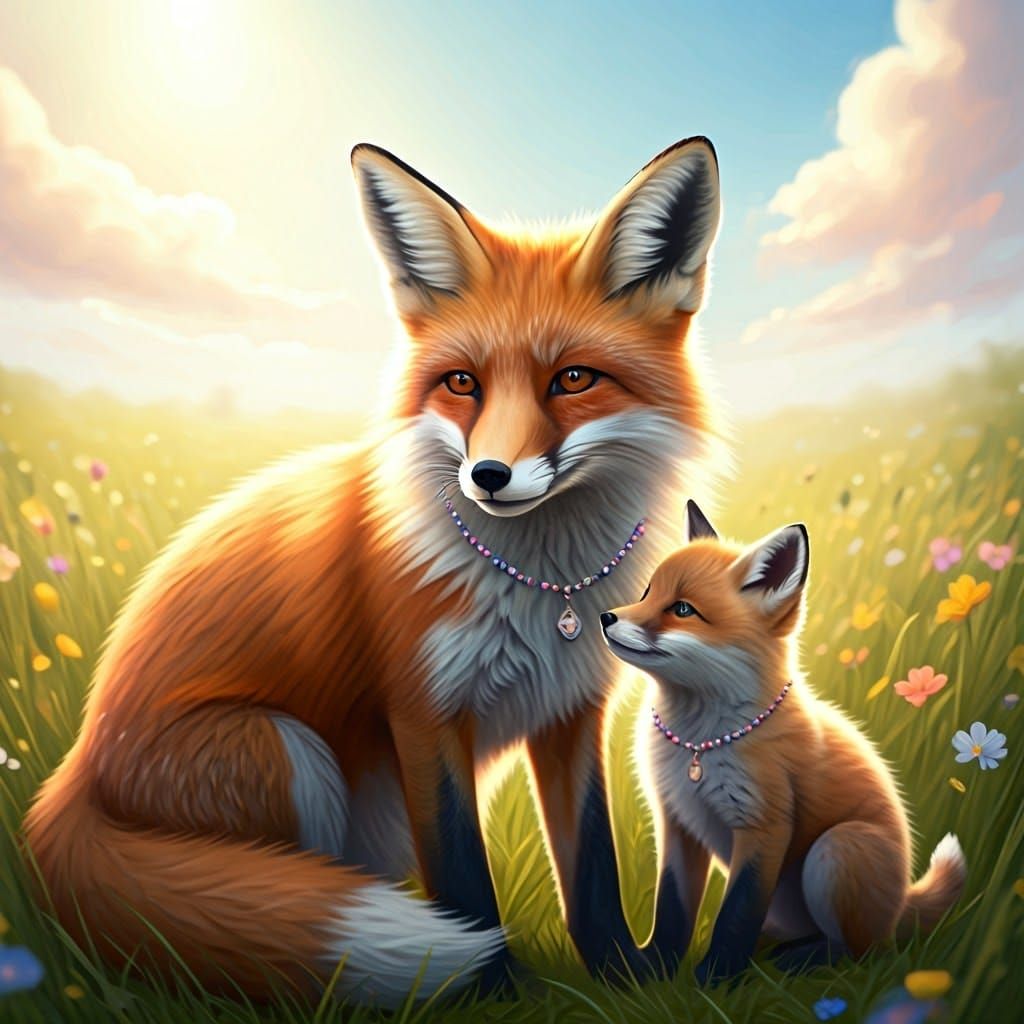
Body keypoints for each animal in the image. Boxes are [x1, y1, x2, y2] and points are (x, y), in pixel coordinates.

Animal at [23, 137, 724, 1004]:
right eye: (462, 383)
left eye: (573, 379)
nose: (488, 476)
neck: (540, 588)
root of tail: (72, 773)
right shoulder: (423, 713)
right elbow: (463, 877)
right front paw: (490, 988)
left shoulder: (569, 712)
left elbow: (591, 866)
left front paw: (622, 978)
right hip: (288, 751)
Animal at [600, 501, 967, 983]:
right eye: (646, 592)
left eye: (681, 609)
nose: (606, 617)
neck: (700, 745)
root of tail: (899, 905)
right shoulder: (677, 821)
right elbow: (672, 910)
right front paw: (655, 971)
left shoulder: (765, 824)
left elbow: (735, 914)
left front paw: (715, 979)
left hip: (837, 850)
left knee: (860, 952)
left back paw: (798, 961)